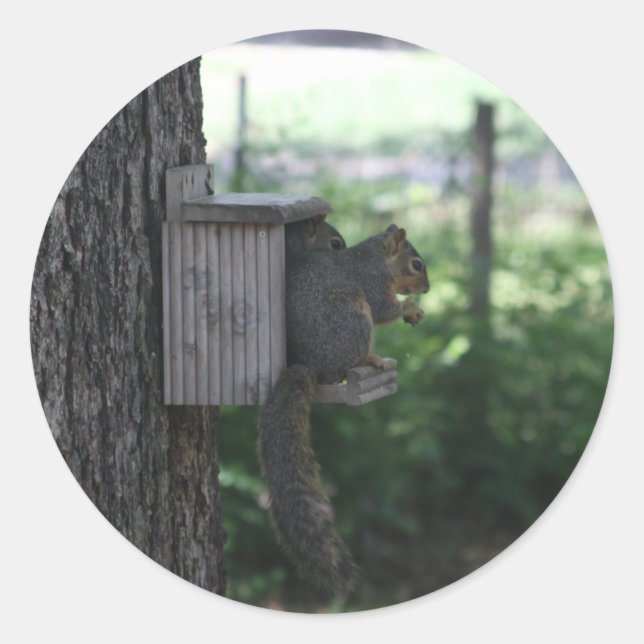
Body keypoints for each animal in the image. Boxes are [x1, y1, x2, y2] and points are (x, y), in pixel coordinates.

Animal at [258, 225, 429, 593]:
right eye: (416, 265)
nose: (427, 290)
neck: (378, 260)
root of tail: (310, 367)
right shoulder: (373, 288)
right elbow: (385, 310)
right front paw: (410, 307)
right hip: (353, 317)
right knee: (353, 357)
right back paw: (374, 360)